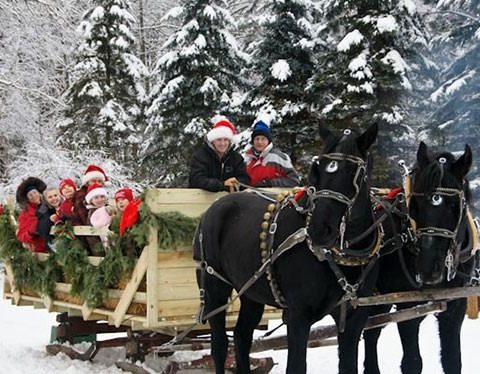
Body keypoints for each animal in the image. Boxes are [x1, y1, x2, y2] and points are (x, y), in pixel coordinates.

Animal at [195, 123, 382, 374]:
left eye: (355, 173)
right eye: (317, 169)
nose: (319, 229)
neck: (341, 256)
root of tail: (213, 209)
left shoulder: (355, 318)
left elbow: (348, 365)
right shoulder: (298, 315)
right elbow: (296, 366)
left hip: (251, 291)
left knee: (242, 337)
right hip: (214, 288)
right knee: (220, 345)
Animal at [364, 141, 476, 374]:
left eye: (455, 206)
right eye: (416, 204)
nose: (427, 269)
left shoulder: (455, 305)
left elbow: (453, 360)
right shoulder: (407, 306)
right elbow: (412, 362)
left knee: (371, 332)